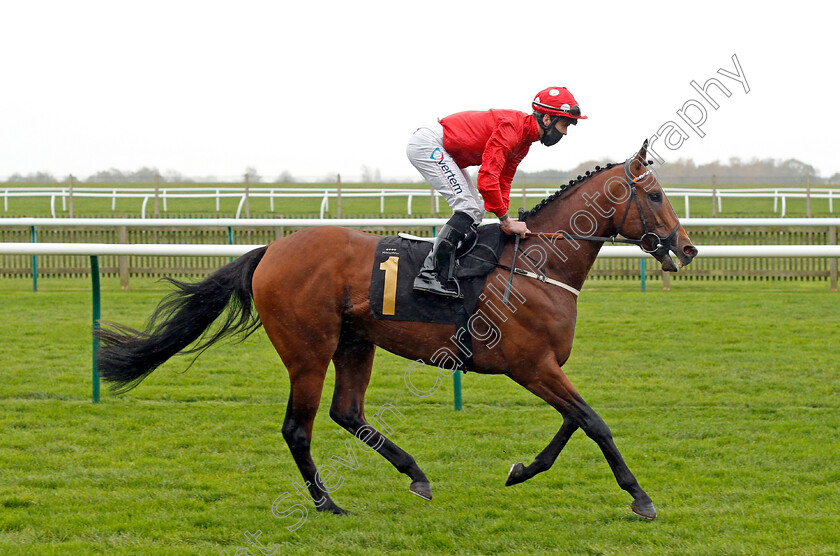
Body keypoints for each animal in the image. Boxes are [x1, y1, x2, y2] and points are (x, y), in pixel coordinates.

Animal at [97, 140, 696, 520]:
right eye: (657, 195)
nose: (687, 248)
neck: (535, 264)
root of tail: (271, 249)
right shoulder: (530, 366)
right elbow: (594, 422)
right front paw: (640, 498)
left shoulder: (543, 367)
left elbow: (574, 422)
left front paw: (522, 469)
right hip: (308, 351)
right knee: (298, 428)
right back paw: (328, 504)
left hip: (355, 343)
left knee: (347, 412)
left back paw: (415, 474)